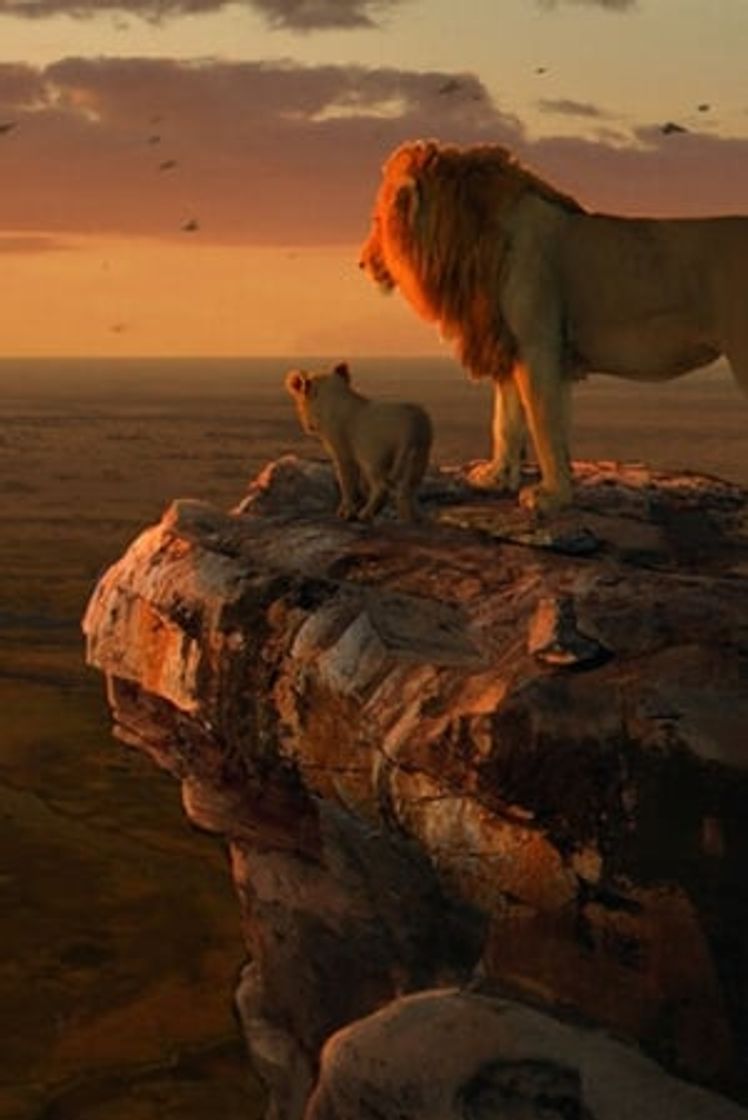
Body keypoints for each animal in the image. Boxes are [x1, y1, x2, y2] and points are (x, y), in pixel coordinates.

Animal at [285, 361, 433, 522]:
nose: (309, 427)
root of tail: (412, 429)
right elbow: (357, 482)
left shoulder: (343, 452)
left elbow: (346, 481)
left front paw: (345, 513)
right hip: (419, 457)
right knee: (409, 489)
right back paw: (414, 518)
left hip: (374, 458)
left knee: (382, 487)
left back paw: (365, 514)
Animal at [359, 139, 748, 512]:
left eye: (377, 221)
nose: (361, 263)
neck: (466, 243)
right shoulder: (510, 344)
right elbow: (506, 419)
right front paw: (496, 477)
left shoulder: (538, 346)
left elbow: (545, 423)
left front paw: (552, 496)